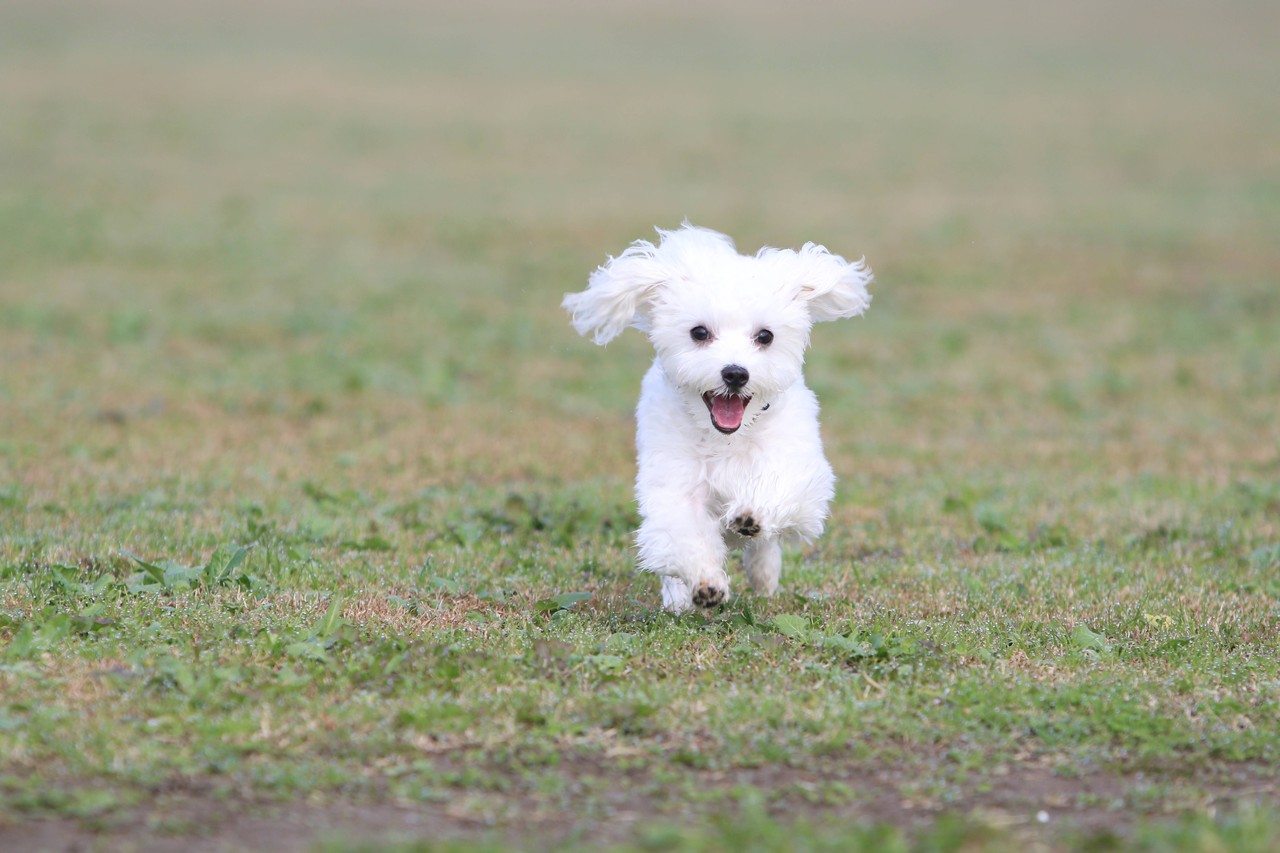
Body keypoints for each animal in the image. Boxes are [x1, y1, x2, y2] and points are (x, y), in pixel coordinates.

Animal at [563, 224, 872, 612]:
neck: (727, 437)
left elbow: (775, 486)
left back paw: (763, 573)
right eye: (699, 332)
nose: (735, 373)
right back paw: (679, 598)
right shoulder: (675, 484)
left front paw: (751, 515)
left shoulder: (796, 464)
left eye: (765, 336)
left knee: (764, 546)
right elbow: (684, 532)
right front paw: (705, 583)